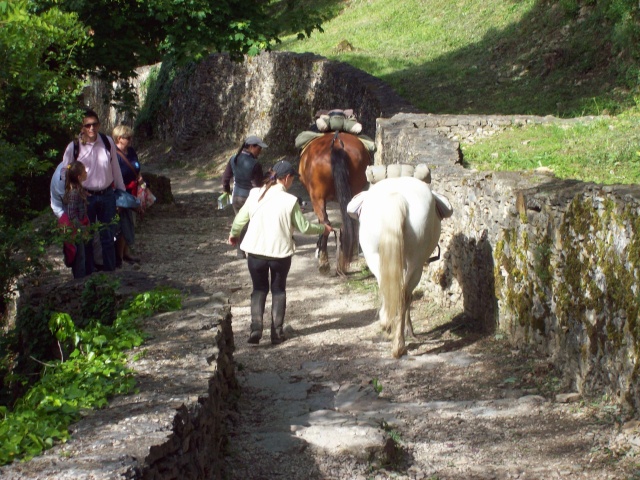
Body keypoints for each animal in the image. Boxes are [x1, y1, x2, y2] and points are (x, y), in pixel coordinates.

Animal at [298, 131, 370, 274]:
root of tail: (336, 142)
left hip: (317, 197)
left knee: (326, 224)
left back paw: (324, 262)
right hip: (354, 192)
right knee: (348, 223)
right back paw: (348, 256)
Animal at [350, 176, 444, 356]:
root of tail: (397, 197)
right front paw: (409, 330)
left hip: (375, 258)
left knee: (391, 291)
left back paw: (391, 331)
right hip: (415, 264)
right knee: (403, 295)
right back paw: (398, 344)